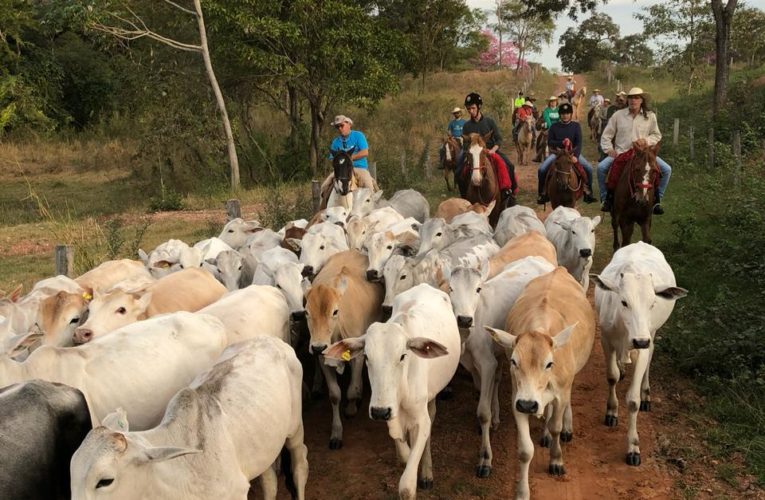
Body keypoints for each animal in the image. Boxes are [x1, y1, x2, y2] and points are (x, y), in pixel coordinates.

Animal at [70, 336, 308, 500]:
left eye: (105, 481)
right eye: (71, 471)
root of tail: (271, 340)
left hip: (294, 428)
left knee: (300, 463)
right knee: (269, 479)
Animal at [324, 286, 456, 500]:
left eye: (403, 355)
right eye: (366, 356)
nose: (380, 412)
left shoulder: (420, 417)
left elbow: (407, 486)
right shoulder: (390, 413)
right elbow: (404, 453)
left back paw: (427, 472)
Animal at [592, 240, 688, 466]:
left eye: (652, 303)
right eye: (624, 302)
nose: (640, 340)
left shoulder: (643, 344)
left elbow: (633, 400)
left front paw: (633, 447)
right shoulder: (606, 340)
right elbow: (611, 377)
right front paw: (611, 411)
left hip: (652, 333)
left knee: (650, 359)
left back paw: (646, 394)